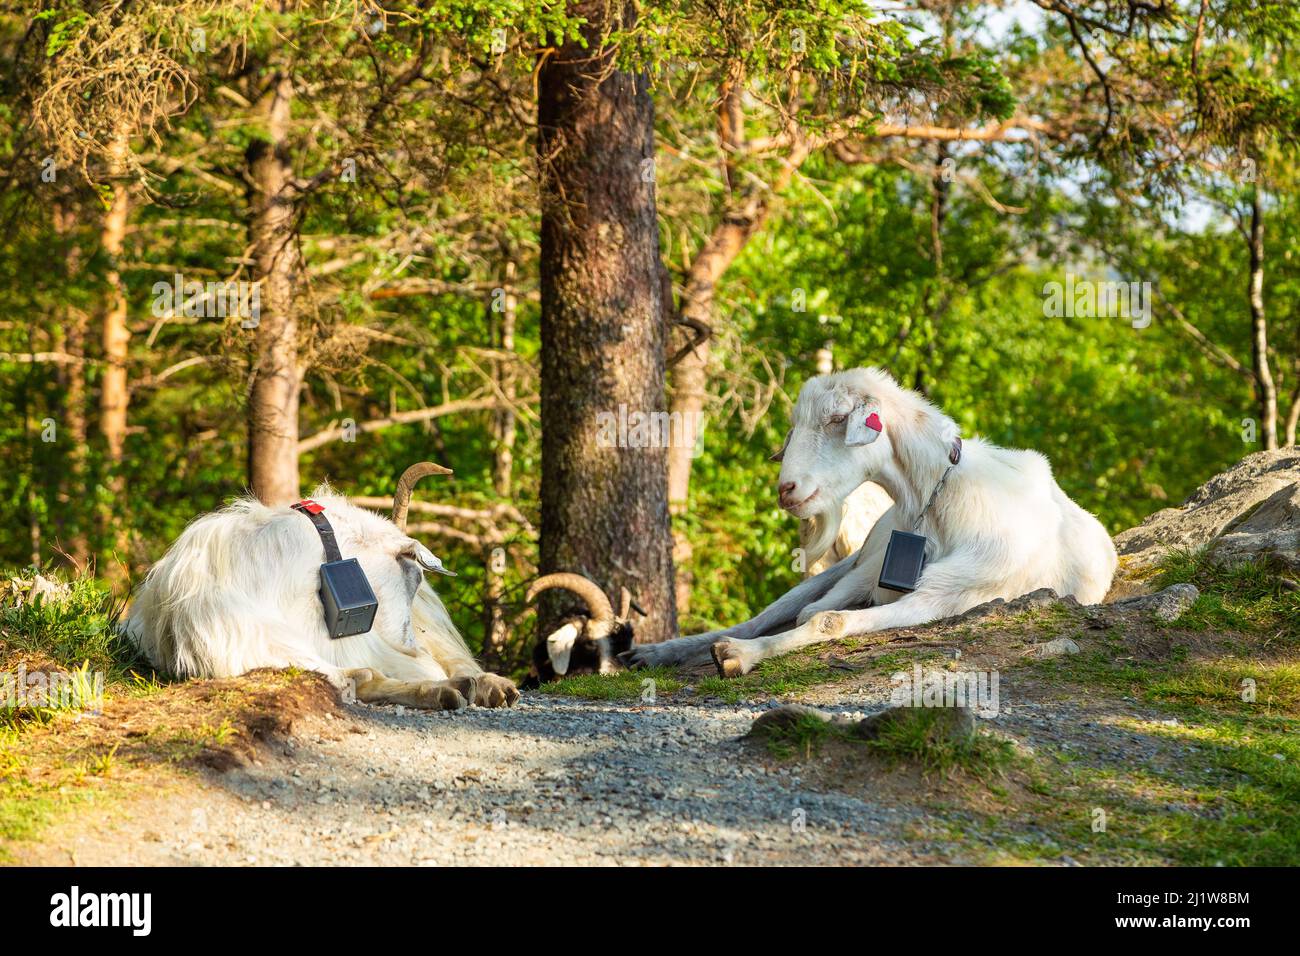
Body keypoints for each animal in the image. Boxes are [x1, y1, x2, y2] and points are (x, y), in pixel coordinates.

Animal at [125, 463, 517, 712]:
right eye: (412, 573)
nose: (412, 644)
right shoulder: (265, 650)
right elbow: (359, 678)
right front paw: (441, 690)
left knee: (452, 660)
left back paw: (491, 686)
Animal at [621, 364, 1118, 671]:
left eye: (839, 418)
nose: (786, 490)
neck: (933, 506)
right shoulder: (868, 570)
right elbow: (811, 612)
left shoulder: (948, 597)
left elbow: (827, 620)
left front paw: (739, 656)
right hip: (856, 556)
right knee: (768, 611)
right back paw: (653, 652)